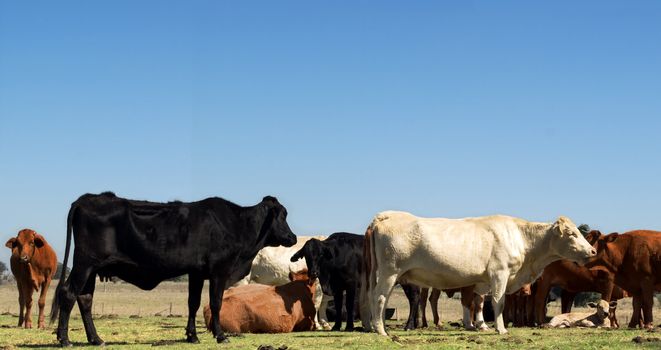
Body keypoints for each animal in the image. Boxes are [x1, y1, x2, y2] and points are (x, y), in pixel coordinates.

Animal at [52, 193, 296, 346]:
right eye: (282, 215)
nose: (292, 237)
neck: (236, 224)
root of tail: (87, 198)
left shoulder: (196, 272)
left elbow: (193, 303)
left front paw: (192, 336)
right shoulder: (219, 271)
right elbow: (215, 303)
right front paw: (220, 335)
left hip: (91, 270)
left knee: (85, 299)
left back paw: (96, 339)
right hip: (84, 265)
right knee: (69, 294)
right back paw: (65, 340)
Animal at [364, 212, 596, 334]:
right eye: (572, 234)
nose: (593, 251)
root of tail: (387, 215)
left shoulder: (483, 280)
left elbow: (479, 302)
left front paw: (481, 325)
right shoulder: (500, 274)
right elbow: (498, 303)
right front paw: (500, 329)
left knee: (379, 298)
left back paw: (379, 327)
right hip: (390, 272)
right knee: (380, 298)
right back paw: (381, 330)